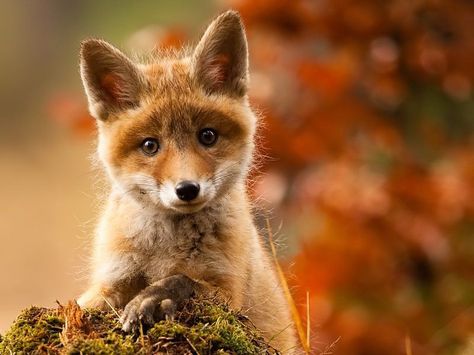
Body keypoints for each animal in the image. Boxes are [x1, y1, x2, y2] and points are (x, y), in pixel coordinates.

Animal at [77, 9, 296, 354]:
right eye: (150, 145)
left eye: (207, 136)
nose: (187, 189)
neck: (166, 247)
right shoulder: (111, 280)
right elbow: (87, 305)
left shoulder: (228, 293)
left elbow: (183, 281)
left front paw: (153, 300)